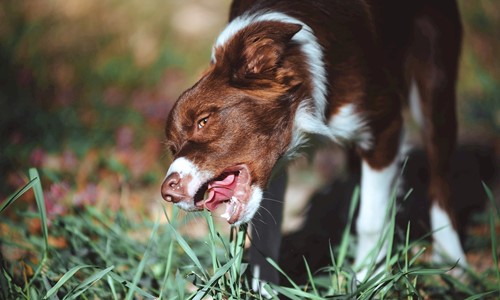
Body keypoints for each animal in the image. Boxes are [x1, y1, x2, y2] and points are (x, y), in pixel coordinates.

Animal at [162, 0, 466, 286]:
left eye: (203, 121)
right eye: (172, 148)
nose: (168, 192)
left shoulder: (385, 126)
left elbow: (370, 219)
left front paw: (369, 279)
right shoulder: (276, 167)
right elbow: (265, 238)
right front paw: (264, 290)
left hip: (434, 76)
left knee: (440, 175)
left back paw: (451, 258)